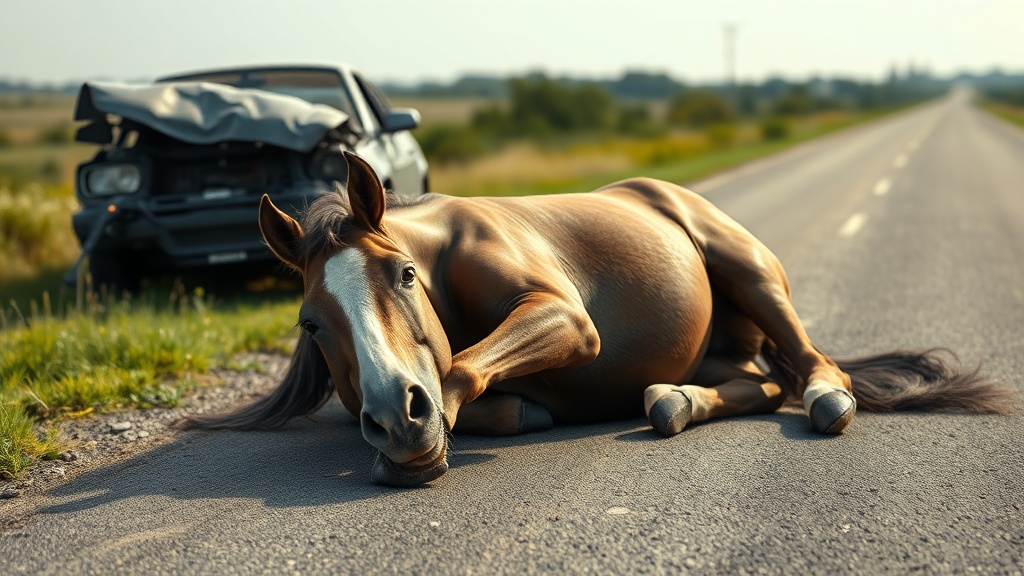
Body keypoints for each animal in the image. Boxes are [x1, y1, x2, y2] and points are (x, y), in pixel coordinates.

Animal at [186, 151, 1015, 487]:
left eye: (404, 276)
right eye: (310, 325)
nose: (399, 420)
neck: (443, 253)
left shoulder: (564, 319)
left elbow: (461, 366)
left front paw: (433, 433)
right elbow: (487, 397)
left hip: (747, 270)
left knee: (811, 369)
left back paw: (826, 401)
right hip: (718, 353)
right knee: (759, 383)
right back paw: (672, 401)